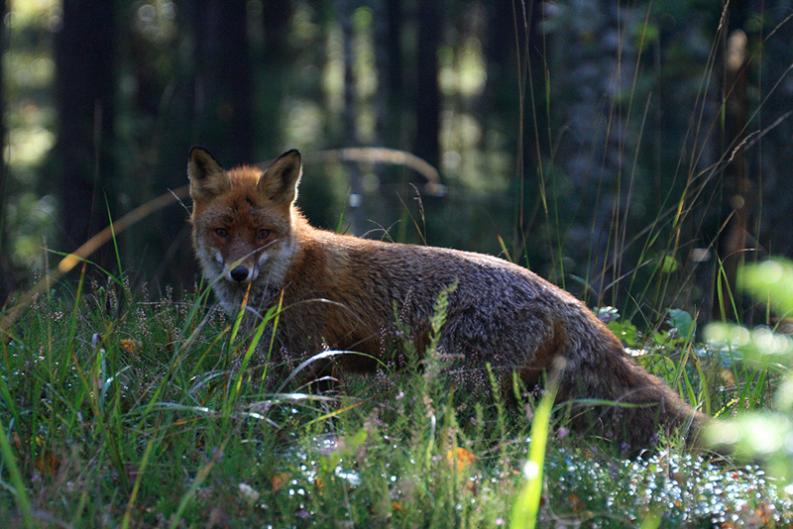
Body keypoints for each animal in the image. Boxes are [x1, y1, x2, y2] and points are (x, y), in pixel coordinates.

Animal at [187, 146, 704, 448]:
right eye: (222, 231)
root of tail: (561, 297)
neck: (289, 273)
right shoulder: (280, 362)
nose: (238, 273)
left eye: (262, 234)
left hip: (455, 385)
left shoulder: (314, 362)